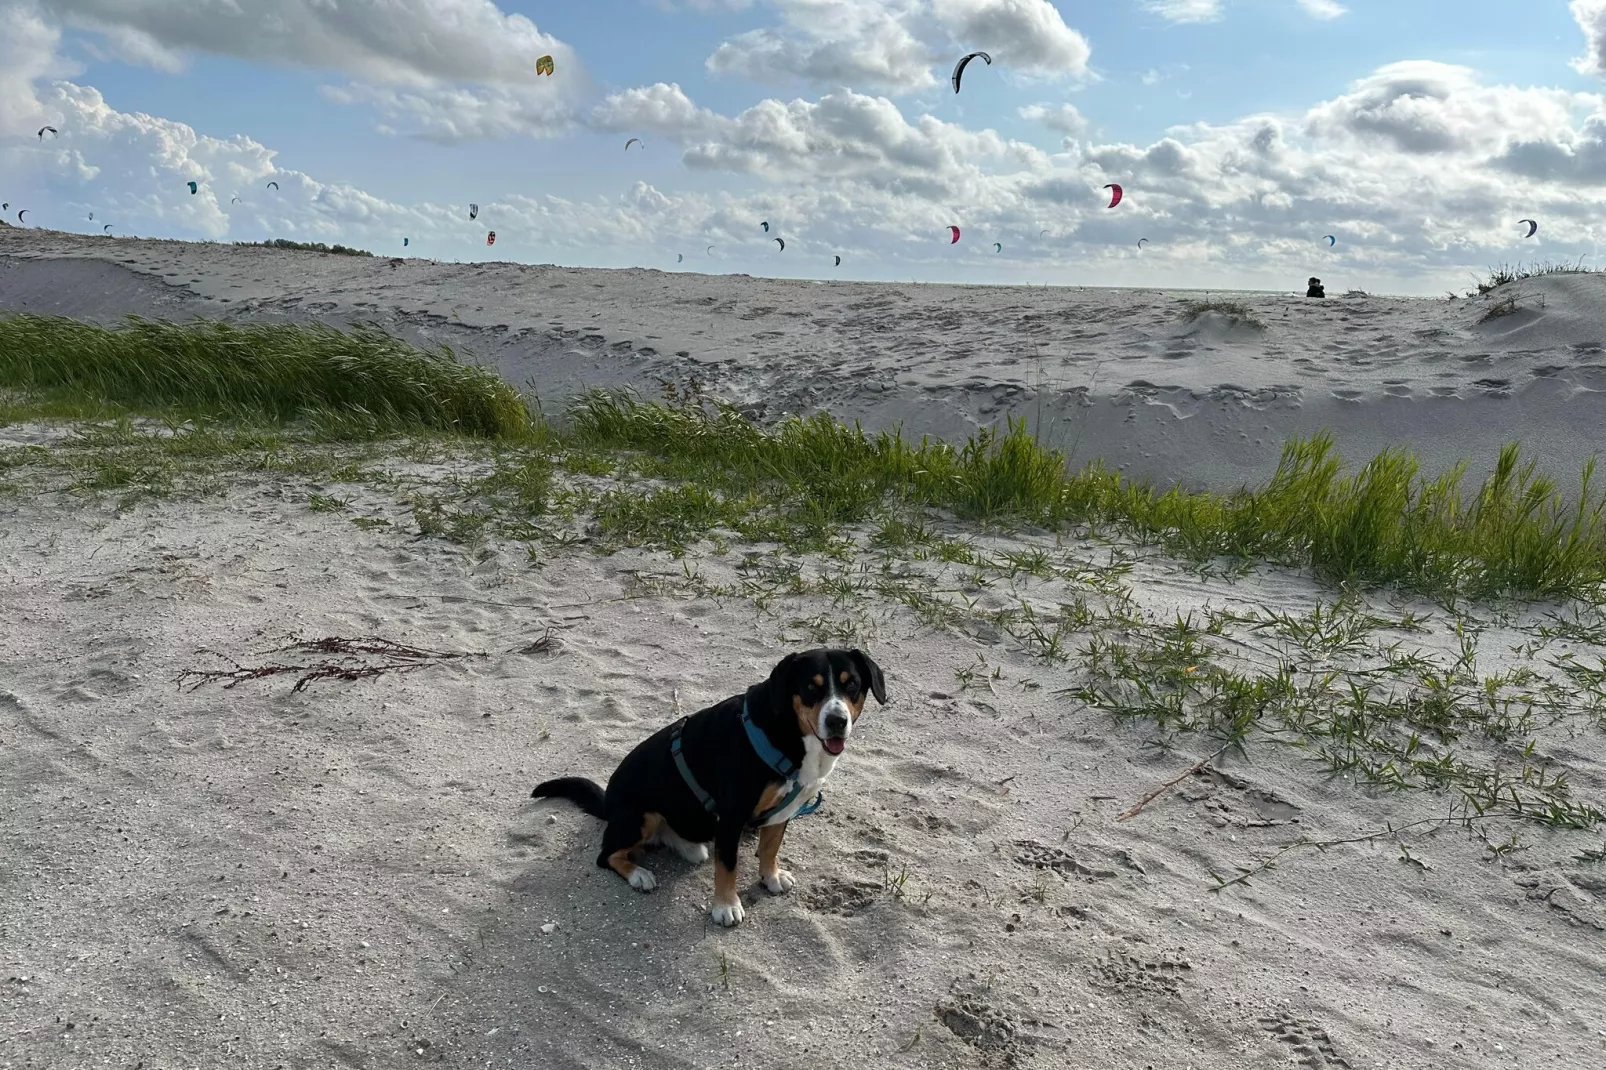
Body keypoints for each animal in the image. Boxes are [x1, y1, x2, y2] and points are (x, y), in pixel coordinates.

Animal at [529, 645, 886, 918]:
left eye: (852, 684)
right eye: (811, 687)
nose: (837, 721)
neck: (788, 732)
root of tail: (609, 803)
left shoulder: (783, 811)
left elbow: (770, 847)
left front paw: (770, 876)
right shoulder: (731, 815)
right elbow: (727, 866)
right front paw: (726, 907)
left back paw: (686, 846)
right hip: (640, 815)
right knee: (607, 856)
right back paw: (639, 875)